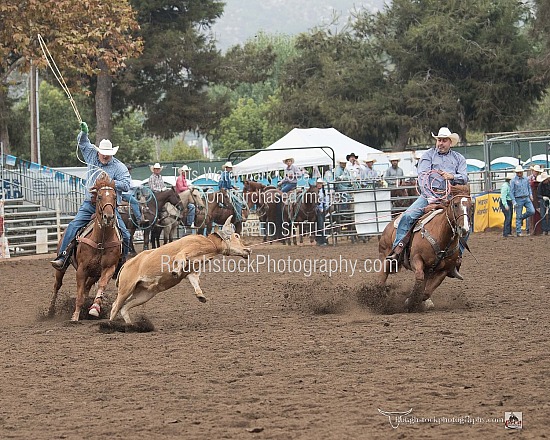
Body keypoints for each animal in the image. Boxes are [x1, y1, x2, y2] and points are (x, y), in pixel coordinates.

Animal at [48, 174, 122, 322]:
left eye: (114, 197)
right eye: (99, 197)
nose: (109, 217)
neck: (101, 242)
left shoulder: (108, 268)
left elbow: (101, 286)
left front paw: (94, 308)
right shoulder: (82, 270)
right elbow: (79, 295)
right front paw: (75, 317)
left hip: (94, 274)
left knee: (87, 287)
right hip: (61, 268)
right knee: (57, 285)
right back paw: (50, 311)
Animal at [110, 216, 252, 324]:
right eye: (236, 236)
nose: (248, 250)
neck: (209, 244)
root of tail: (126, 264)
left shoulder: (192, 271)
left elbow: (194, 281)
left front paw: (200, 296)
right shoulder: (183, 253)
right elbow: (181, 259)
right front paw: (175, 272)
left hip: (144, 294)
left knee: (124, 308)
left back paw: (130, 325)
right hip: (126, 288)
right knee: (115, 307)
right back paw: (110, 325)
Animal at [380, 184, 474, 312]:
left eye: (471, 206)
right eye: (455, 204)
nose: (464, 229)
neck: (440, 236)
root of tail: (390, 224)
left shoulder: (443, 271)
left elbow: (426, 292)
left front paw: (416, 302)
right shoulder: (416, 259)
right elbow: (419, 277)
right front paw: (409, 302)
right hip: (386, 256)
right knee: (382, 275)